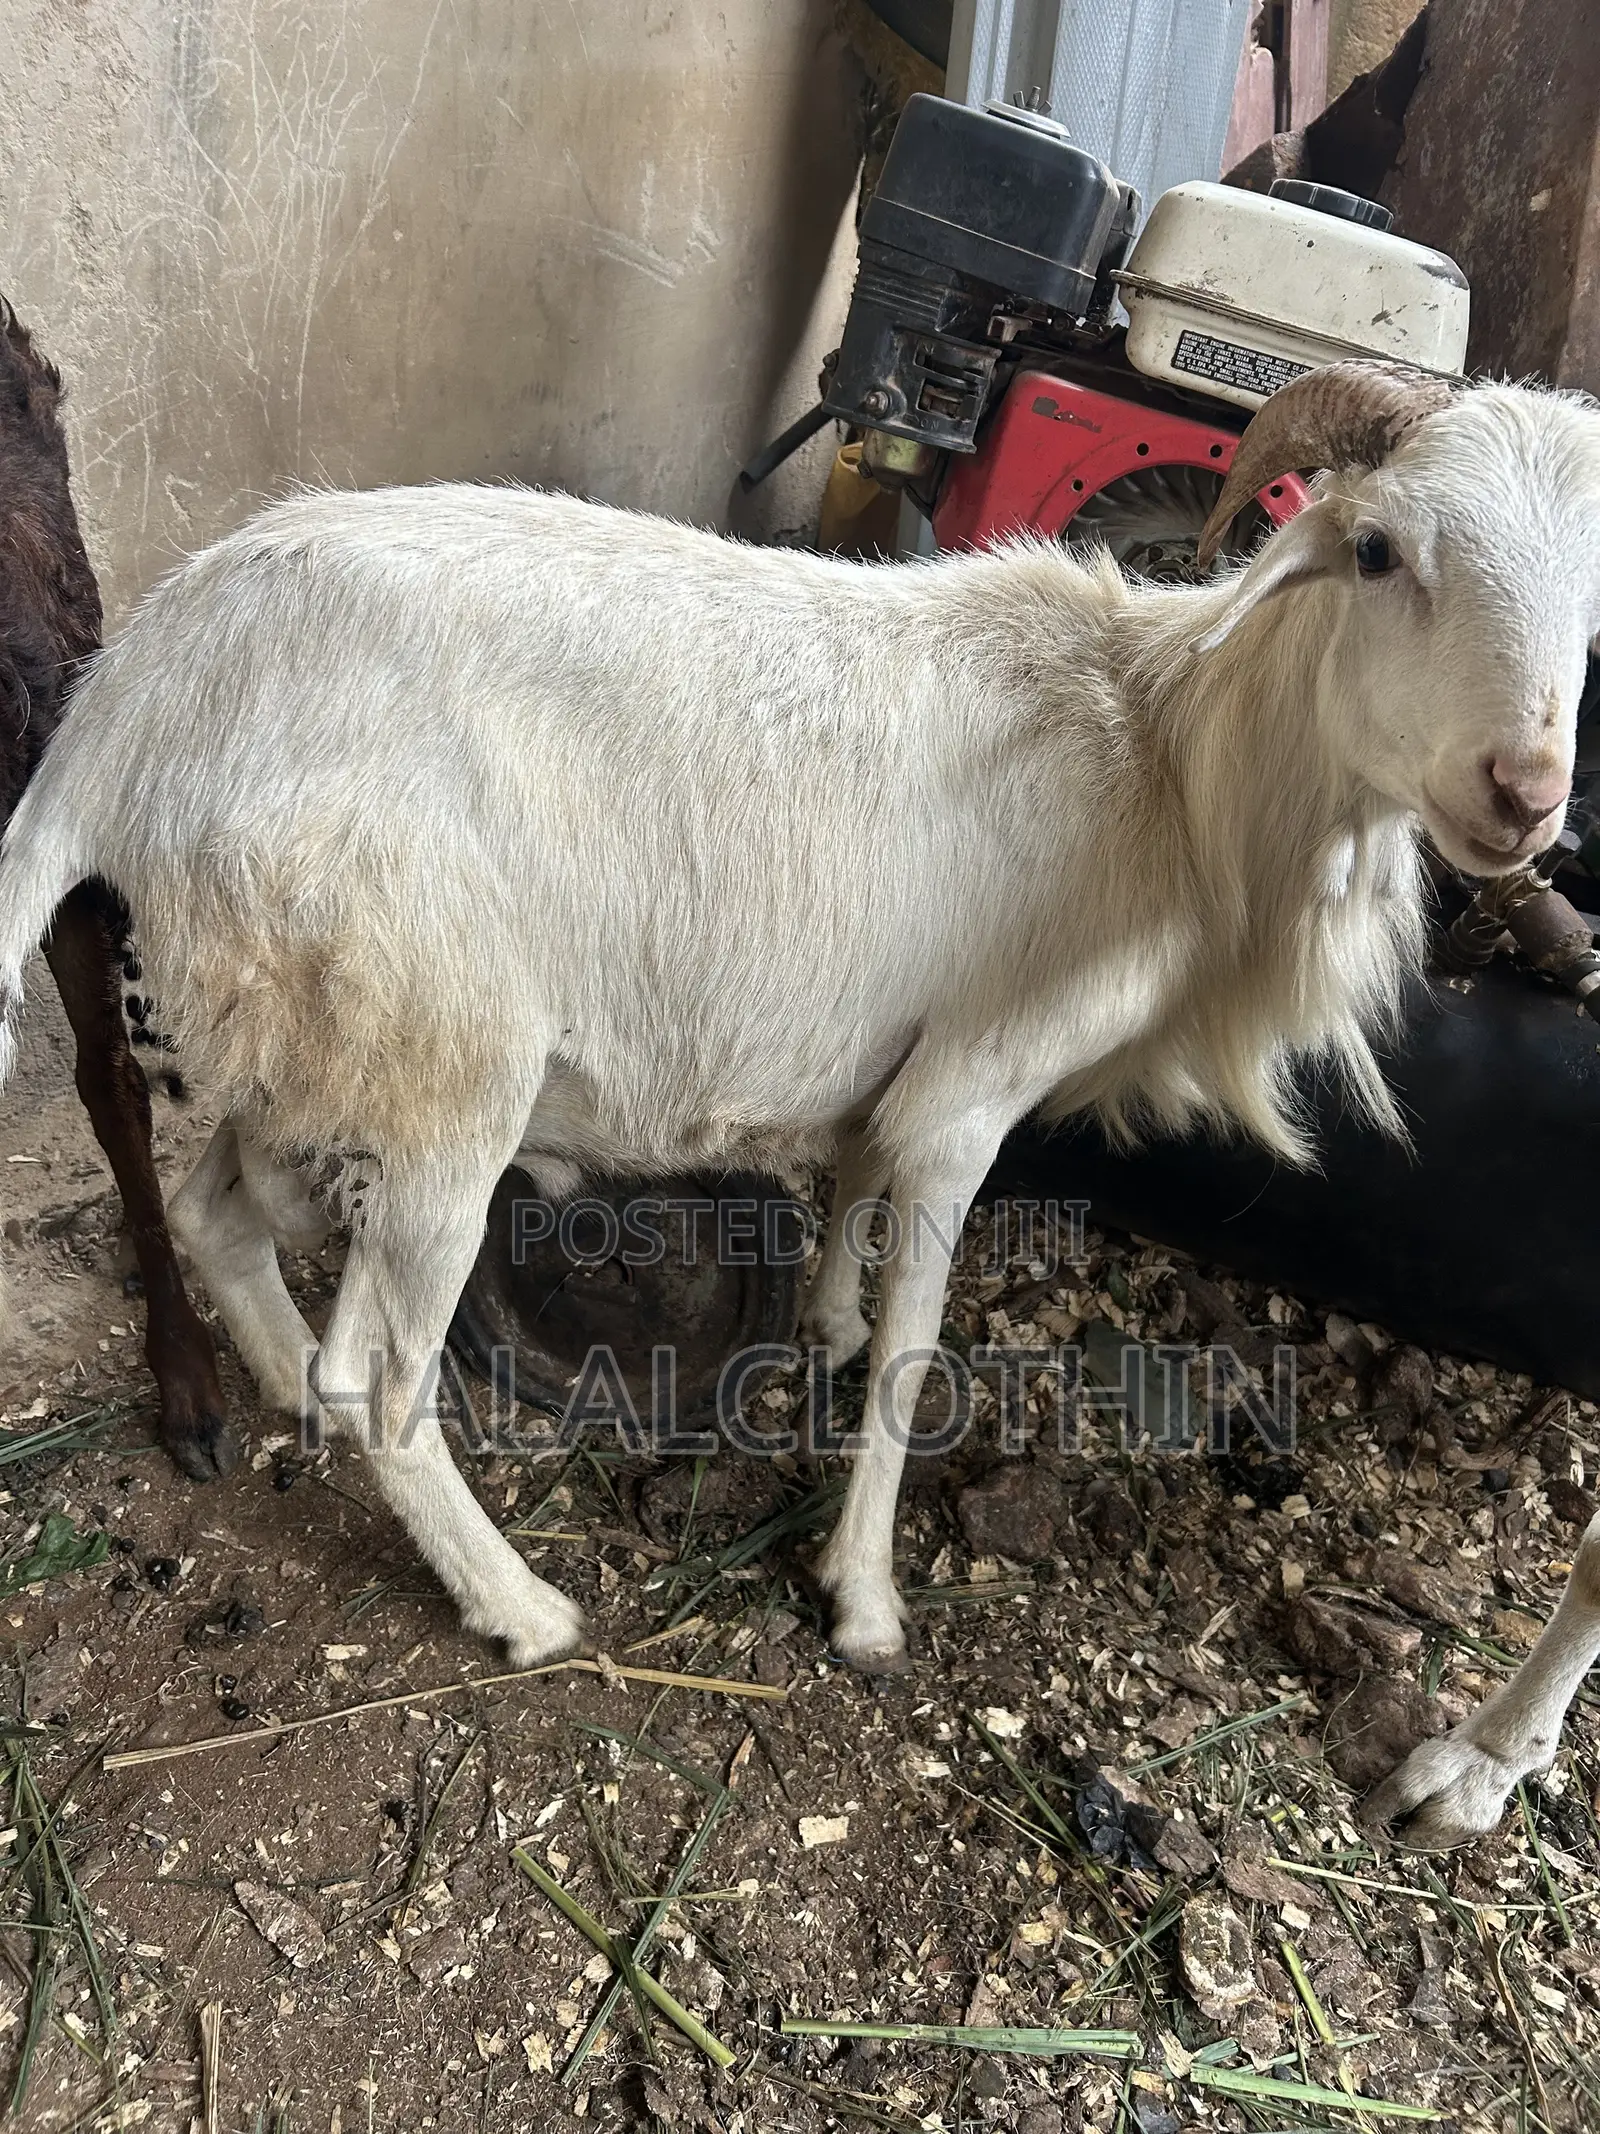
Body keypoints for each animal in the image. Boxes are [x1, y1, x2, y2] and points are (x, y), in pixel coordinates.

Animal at [0, 360, 1594, 1846]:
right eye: (1379, 548)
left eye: (1587, 618)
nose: (1524, 790)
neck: (1173, 761)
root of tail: (120, 711)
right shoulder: (971, 1090)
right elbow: (914, 1344)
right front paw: (866, 1598)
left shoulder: (884, 1069)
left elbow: (848, 1190)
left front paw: (820, 1324)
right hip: (440, 1061)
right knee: (380, 1379)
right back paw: (521, 1604)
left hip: (299, 1042)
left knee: (215, 1207)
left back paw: (276, 1389)